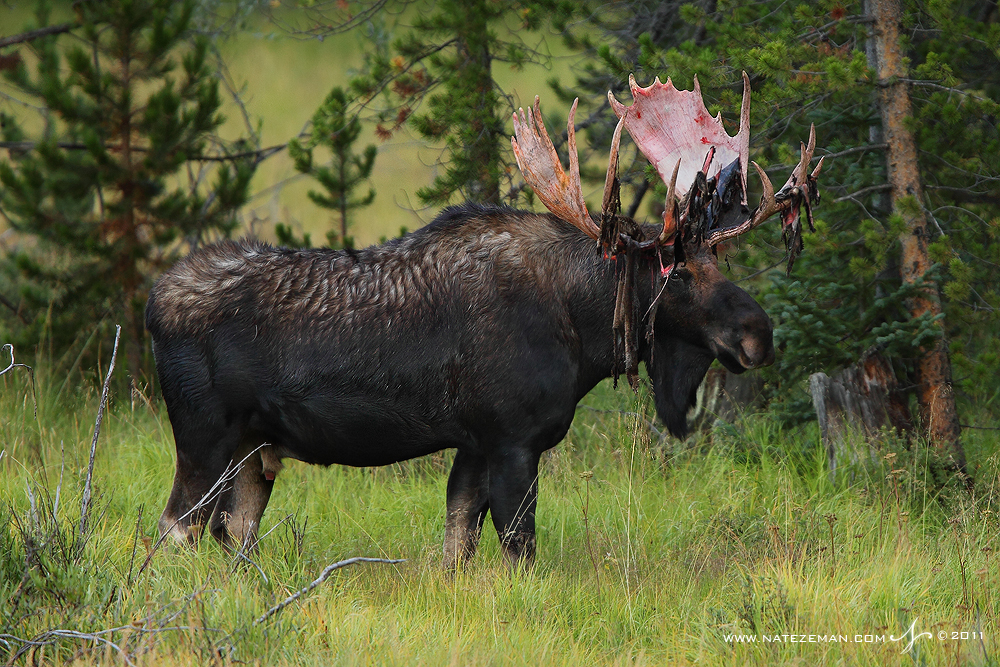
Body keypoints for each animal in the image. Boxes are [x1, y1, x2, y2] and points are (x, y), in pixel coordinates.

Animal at [148, 73, 820, 568]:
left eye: (718, 260)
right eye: (675, 271)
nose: (757, 336)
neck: (584, 330)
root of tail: (154, 304)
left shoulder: (473, 444)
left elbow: (457, 549)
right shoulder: (513, 438)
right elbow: (519, 551)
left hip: (253, 453)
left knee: (232, 539)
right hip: (204, 438)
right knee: (171, 531)